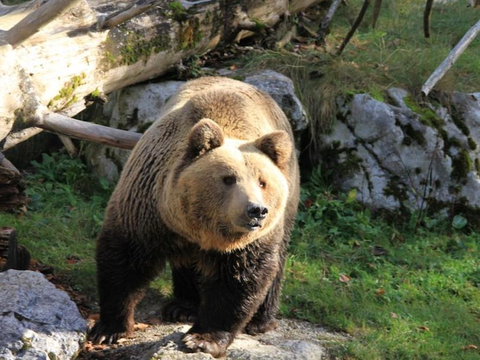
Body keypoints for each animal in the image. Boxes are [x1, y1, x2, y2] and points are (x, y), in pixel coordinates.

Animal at [89, 76, 298, 358]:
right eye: (228, 178)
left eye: (262, 182)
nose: (256, 210)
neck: (201, 228)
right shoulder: (148, 209)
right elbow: (124, 259)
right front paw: (108, 328)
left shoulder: (248, 243)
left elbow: (240, 281)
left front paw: (201, 339)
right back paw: (183, 306)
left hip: (286, 207)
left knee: (277, 260)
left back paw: (259, 321)